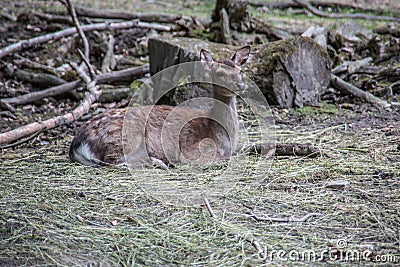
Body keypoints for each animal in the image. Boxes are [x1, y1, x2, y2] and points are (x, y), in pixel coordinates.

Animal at [69, 45, 250, 168]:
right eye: (220, 73)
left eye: (240, 71)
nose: (241, 85)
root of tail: (77, 145)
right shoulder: (192, 150)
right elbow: (224, 158)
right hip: (124, 135)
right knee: (113, 161)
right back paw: (159, 163)